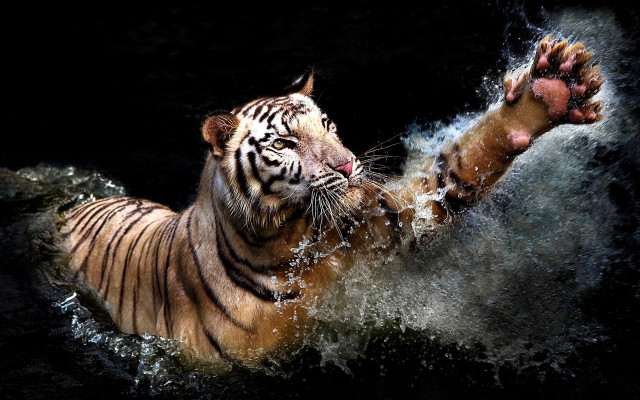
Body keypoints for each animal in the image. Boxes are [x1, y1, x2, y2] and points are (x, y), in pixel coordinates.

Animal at [61, 36, 603, 362]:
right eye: (285, 142)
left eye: (327, 125)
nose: (347, 165)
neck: (293, 241)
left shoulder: (388, 220)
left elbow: (452, 174)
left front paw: (551, 88)